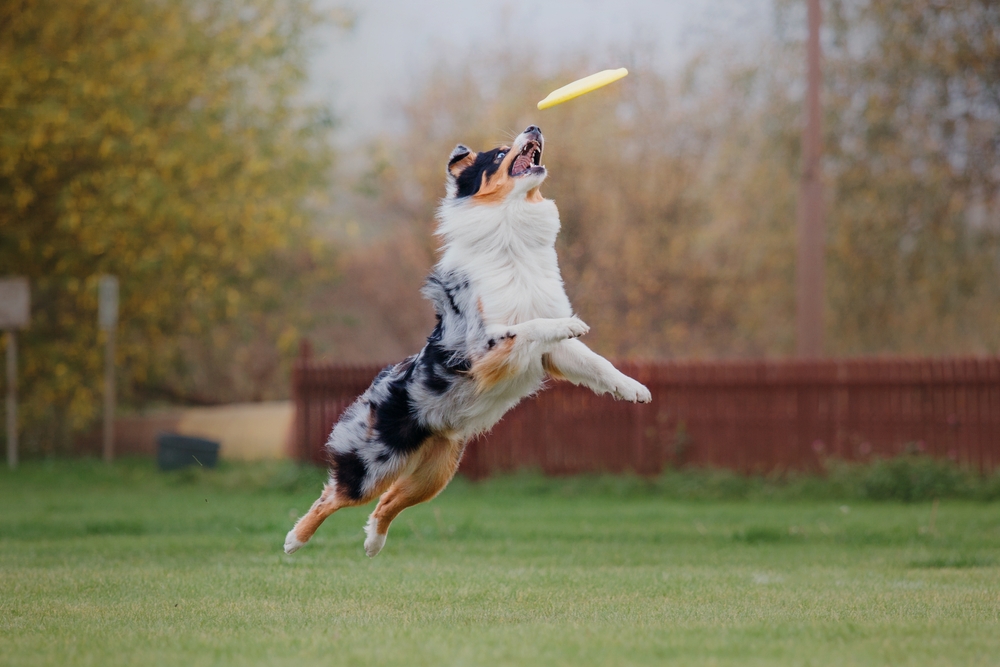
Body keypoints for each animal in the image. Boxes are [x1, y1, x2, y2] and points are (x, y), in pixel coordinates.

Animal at [286, 125, 652, 560]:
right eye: (497, 155)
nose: (534, 127)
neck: (511, 234)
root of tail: (378, 385)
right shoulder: (484, 346)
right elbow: (532, 325)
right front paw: (571, 322)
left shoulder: (552, 354)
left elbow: (597, 363)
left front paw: (634, 389)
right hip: (374, 462)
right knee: (335, 495)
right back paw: (294, 540)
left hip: (435, 473)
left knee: (388, 501)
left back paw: (373, 542)